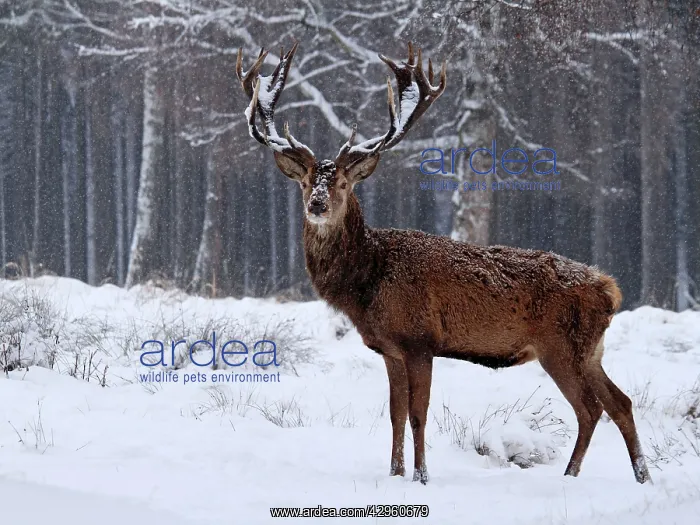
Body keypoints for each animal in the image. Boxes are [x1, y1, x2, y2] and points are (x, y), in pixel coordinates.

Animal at [235, 41, 651, 485]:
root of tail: (609, 289)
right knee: (620, 403)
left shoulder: (420, 340)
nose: (317, 205)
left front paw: (421, 476)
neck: (368, 282)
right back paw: (640, 476)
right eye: (305, 181)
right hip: (591, 350)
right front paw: (395, 473)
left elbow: (419, 414)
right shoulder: (390, 349)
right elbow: (396, 415)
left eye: (344, 183)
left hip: (562, 347)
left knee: (591, 408)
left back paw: (574, 476)